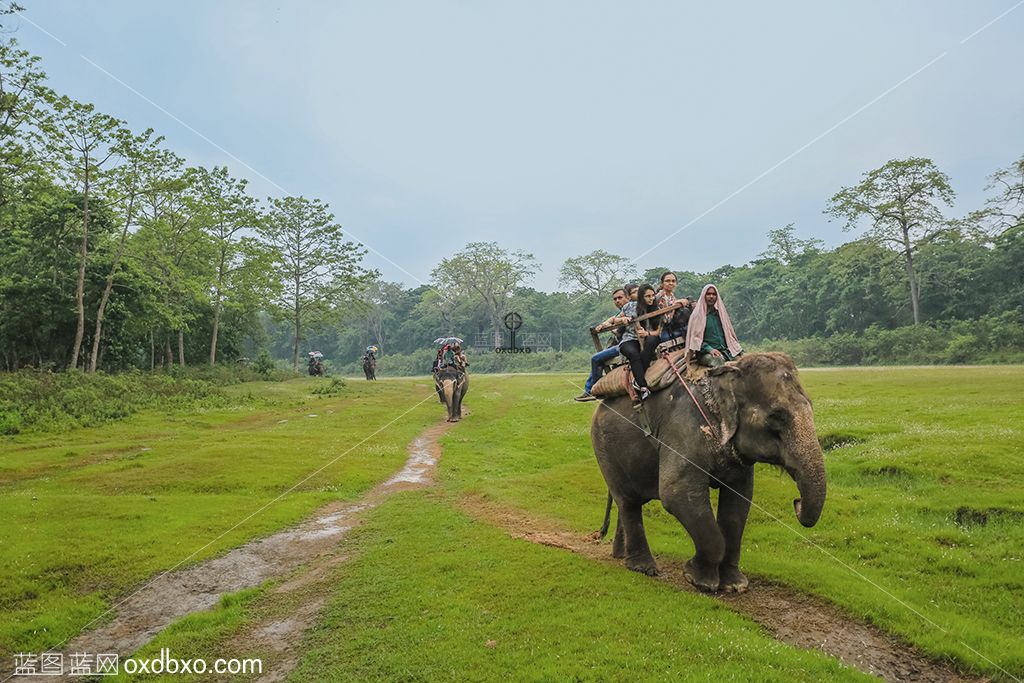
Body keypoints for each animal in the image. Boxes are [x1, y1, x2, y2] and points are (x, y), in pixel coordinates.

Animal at [593, 352, 823, 593]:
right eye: (776, 416)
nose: (797, 502)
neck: (723, 377)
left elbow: (739, 503)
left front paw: (734, 585)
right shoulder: (683, 429)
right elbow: (676, 493)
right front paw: (699, 581)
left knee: (628, 503)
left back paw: (620, 556)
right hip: (604, 449)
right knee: (628, 502)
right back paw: (644, 568)